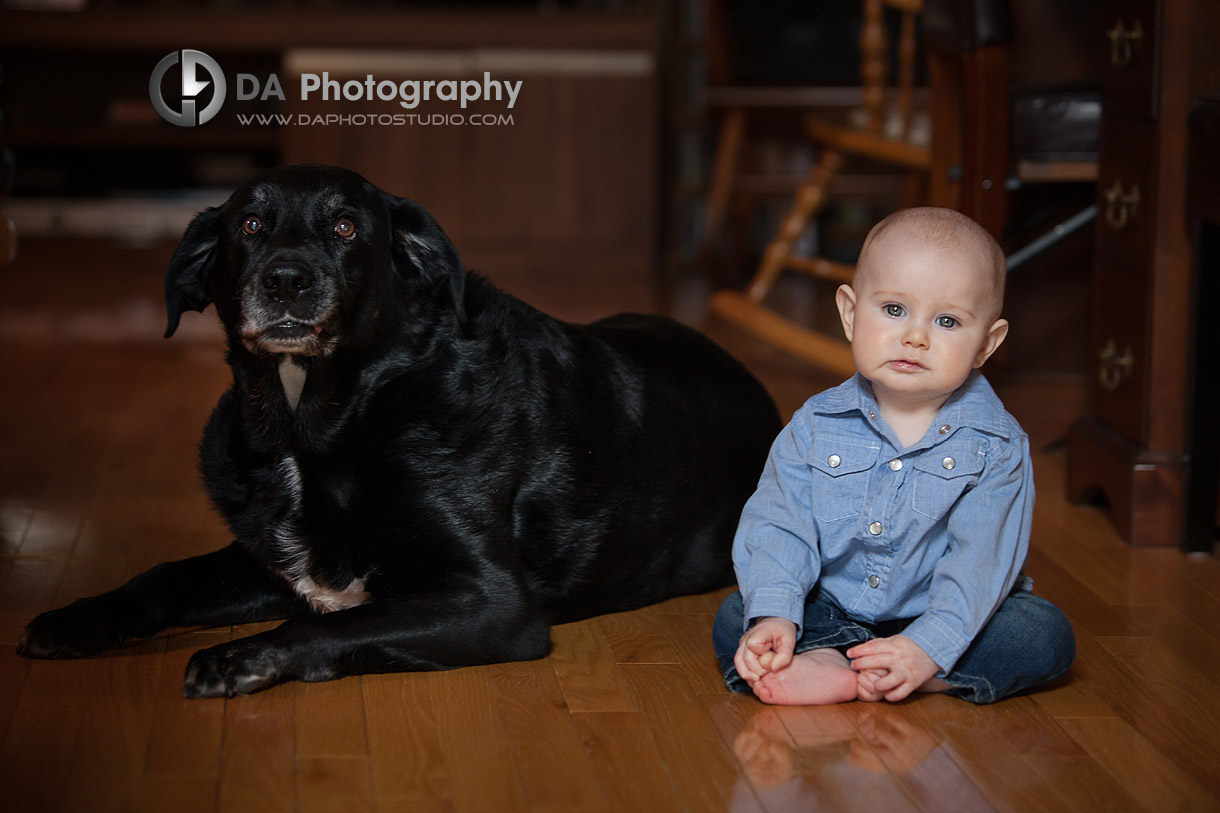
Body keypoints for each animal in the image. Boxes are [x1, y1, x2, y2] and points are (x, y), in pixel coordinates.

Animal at [16, 164, 780, 698]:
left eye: (347, 229)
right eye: (251, 227)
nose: (286, 280)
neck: (326, 426)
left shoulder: (492, 601)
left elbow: (331, 621)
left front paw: (237, 655)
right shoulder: (277, 561)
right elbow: (163, 574)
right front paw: (75, 619)